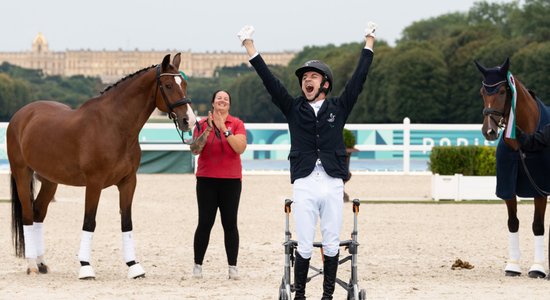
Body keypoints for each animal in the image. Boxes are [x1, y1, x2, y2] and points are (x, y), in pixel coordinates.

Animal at [7, 52, 196, 278]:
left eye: (184, 84)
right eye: (168, 85)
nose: (189, 120)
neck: (113, 125)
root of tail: (21, 115)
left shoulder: (128, 182)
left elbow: (126, 221)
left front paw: (134, 266)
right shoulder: (94, 183)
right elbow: (89, 221)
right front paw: (85, 267)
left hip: (50, 180)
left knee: (38, 213)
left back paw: (42, 263)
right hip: (22, 174)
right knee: (28, 215)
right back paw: (32, 265)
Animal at [476, 58, 548, 278]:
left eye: (501, 91)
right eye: (482, 92)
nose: (489, 131)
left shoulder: (539, 189)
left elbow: (538, 226)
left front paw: (538, 268)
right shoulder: (508, 187)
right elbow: (513, 222)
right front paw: (513, 266)